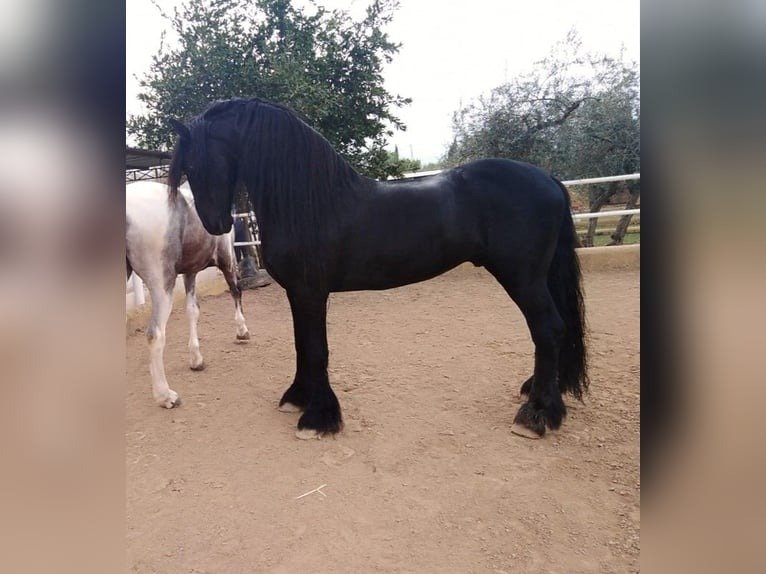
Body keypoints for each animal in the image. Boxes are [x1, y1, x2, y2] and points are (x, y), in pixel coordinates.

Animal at [126, 180, 250, 408]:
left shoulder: (190, 272)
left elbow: (192, 310)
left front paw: (196, 360)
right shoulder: (227, 258)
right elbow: (236, 291)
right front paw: (242, 331)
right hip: (162, 283)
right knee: (155, 334)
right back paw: (166, 396)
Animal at [167, 97, 588, 440]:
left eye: (196, 163)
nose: (216, 224)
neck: (311, 203)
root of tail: (548, 179)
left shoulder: (310, 291)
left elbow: (316, 349)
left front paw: (319, 418)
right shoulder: (298, 293)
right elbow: (302, 345)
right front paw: (298, 398)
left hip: (523, 277)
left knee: (548, 329)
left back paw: (536, 415)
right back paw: (542, 395)